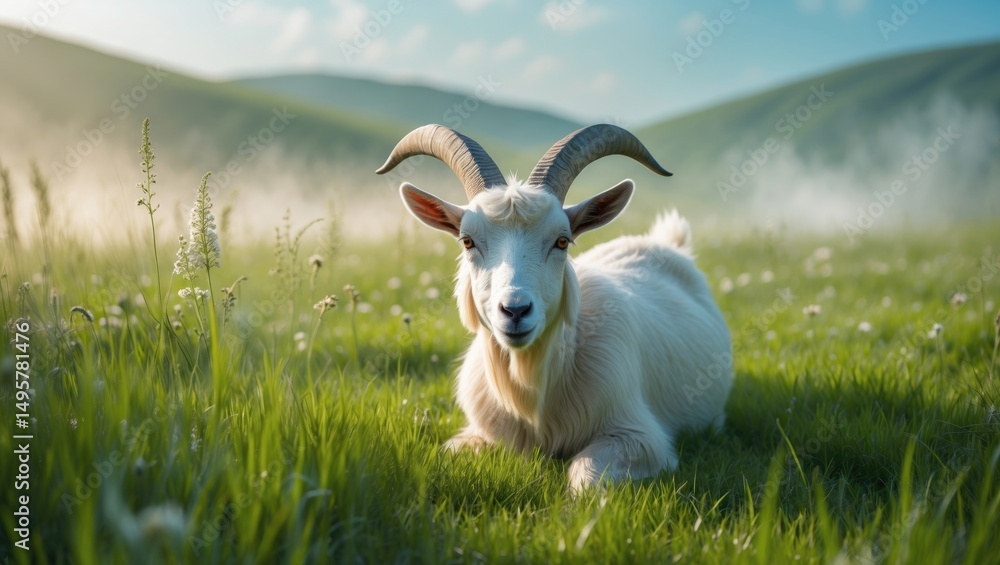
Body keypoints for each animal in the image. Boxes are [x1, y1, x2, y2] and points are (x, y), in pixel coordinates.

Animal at [376, 124, 732, 492]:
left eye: (562, 240)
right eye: (467, 241)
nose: (515, 310)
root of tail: (668, 244)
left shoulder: (641, 437)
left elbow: (587, 474)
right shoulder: (479, 432)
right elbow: (447, 452)